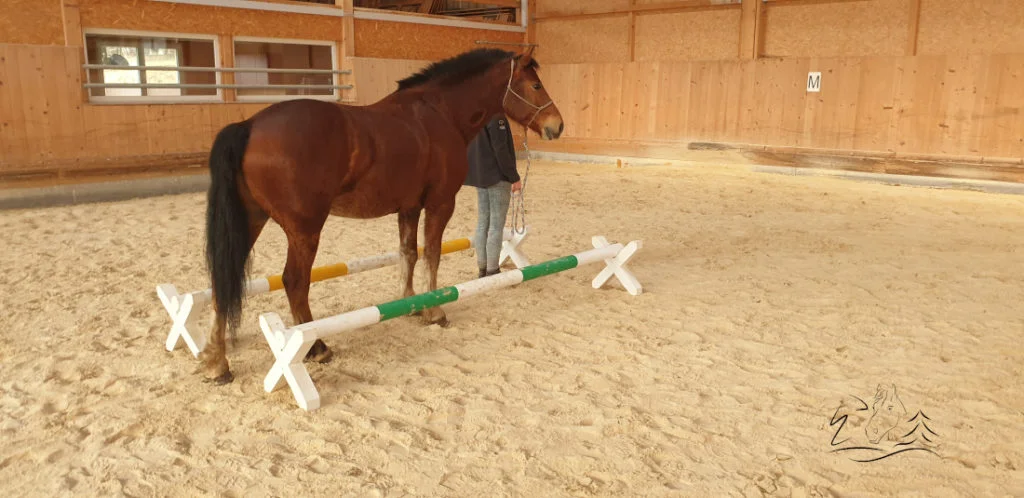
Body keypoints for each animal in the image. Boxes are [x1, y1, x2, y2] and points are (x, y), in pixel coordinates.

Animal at [200, 47, 564, 385]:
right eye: (535, 85)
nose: (556, 126)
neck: (440, 113)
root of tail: (248, 126)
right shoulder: (441, 203)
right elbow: (432, 255)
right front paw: (434, 309)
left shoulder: (409, 207)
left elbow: (409, 254)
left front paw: (411, 303)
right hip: (304, 229)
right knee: (295, 282)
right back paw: (317, 347)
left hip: (251, 221)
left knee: (222, 280)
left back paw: (217, 361)